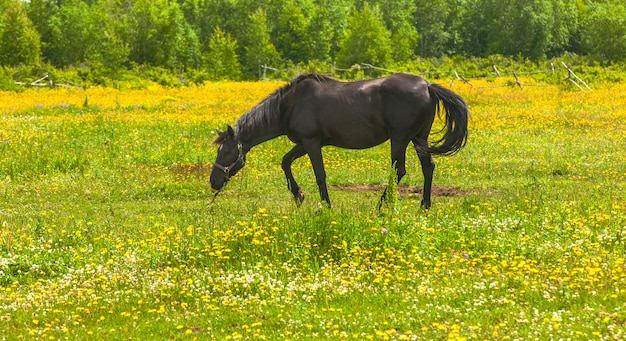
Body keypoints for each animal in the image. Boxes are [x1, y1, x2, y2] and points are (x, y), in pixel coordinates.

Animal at [210, 72, 468, 207]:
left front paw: (326, 205)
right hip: (418, 138)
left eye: (226, 152)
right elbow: (285, 162)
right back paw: (425, 205)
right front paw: (298, 195)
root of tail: (427, 85)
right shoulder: (303, 143)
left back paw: (382, 205)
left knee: (399, 170)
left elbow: (320, 175)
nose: (213, 182)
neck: (289, 105)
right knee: (428, 167)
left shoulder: (312, 143)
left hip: (400, 139)